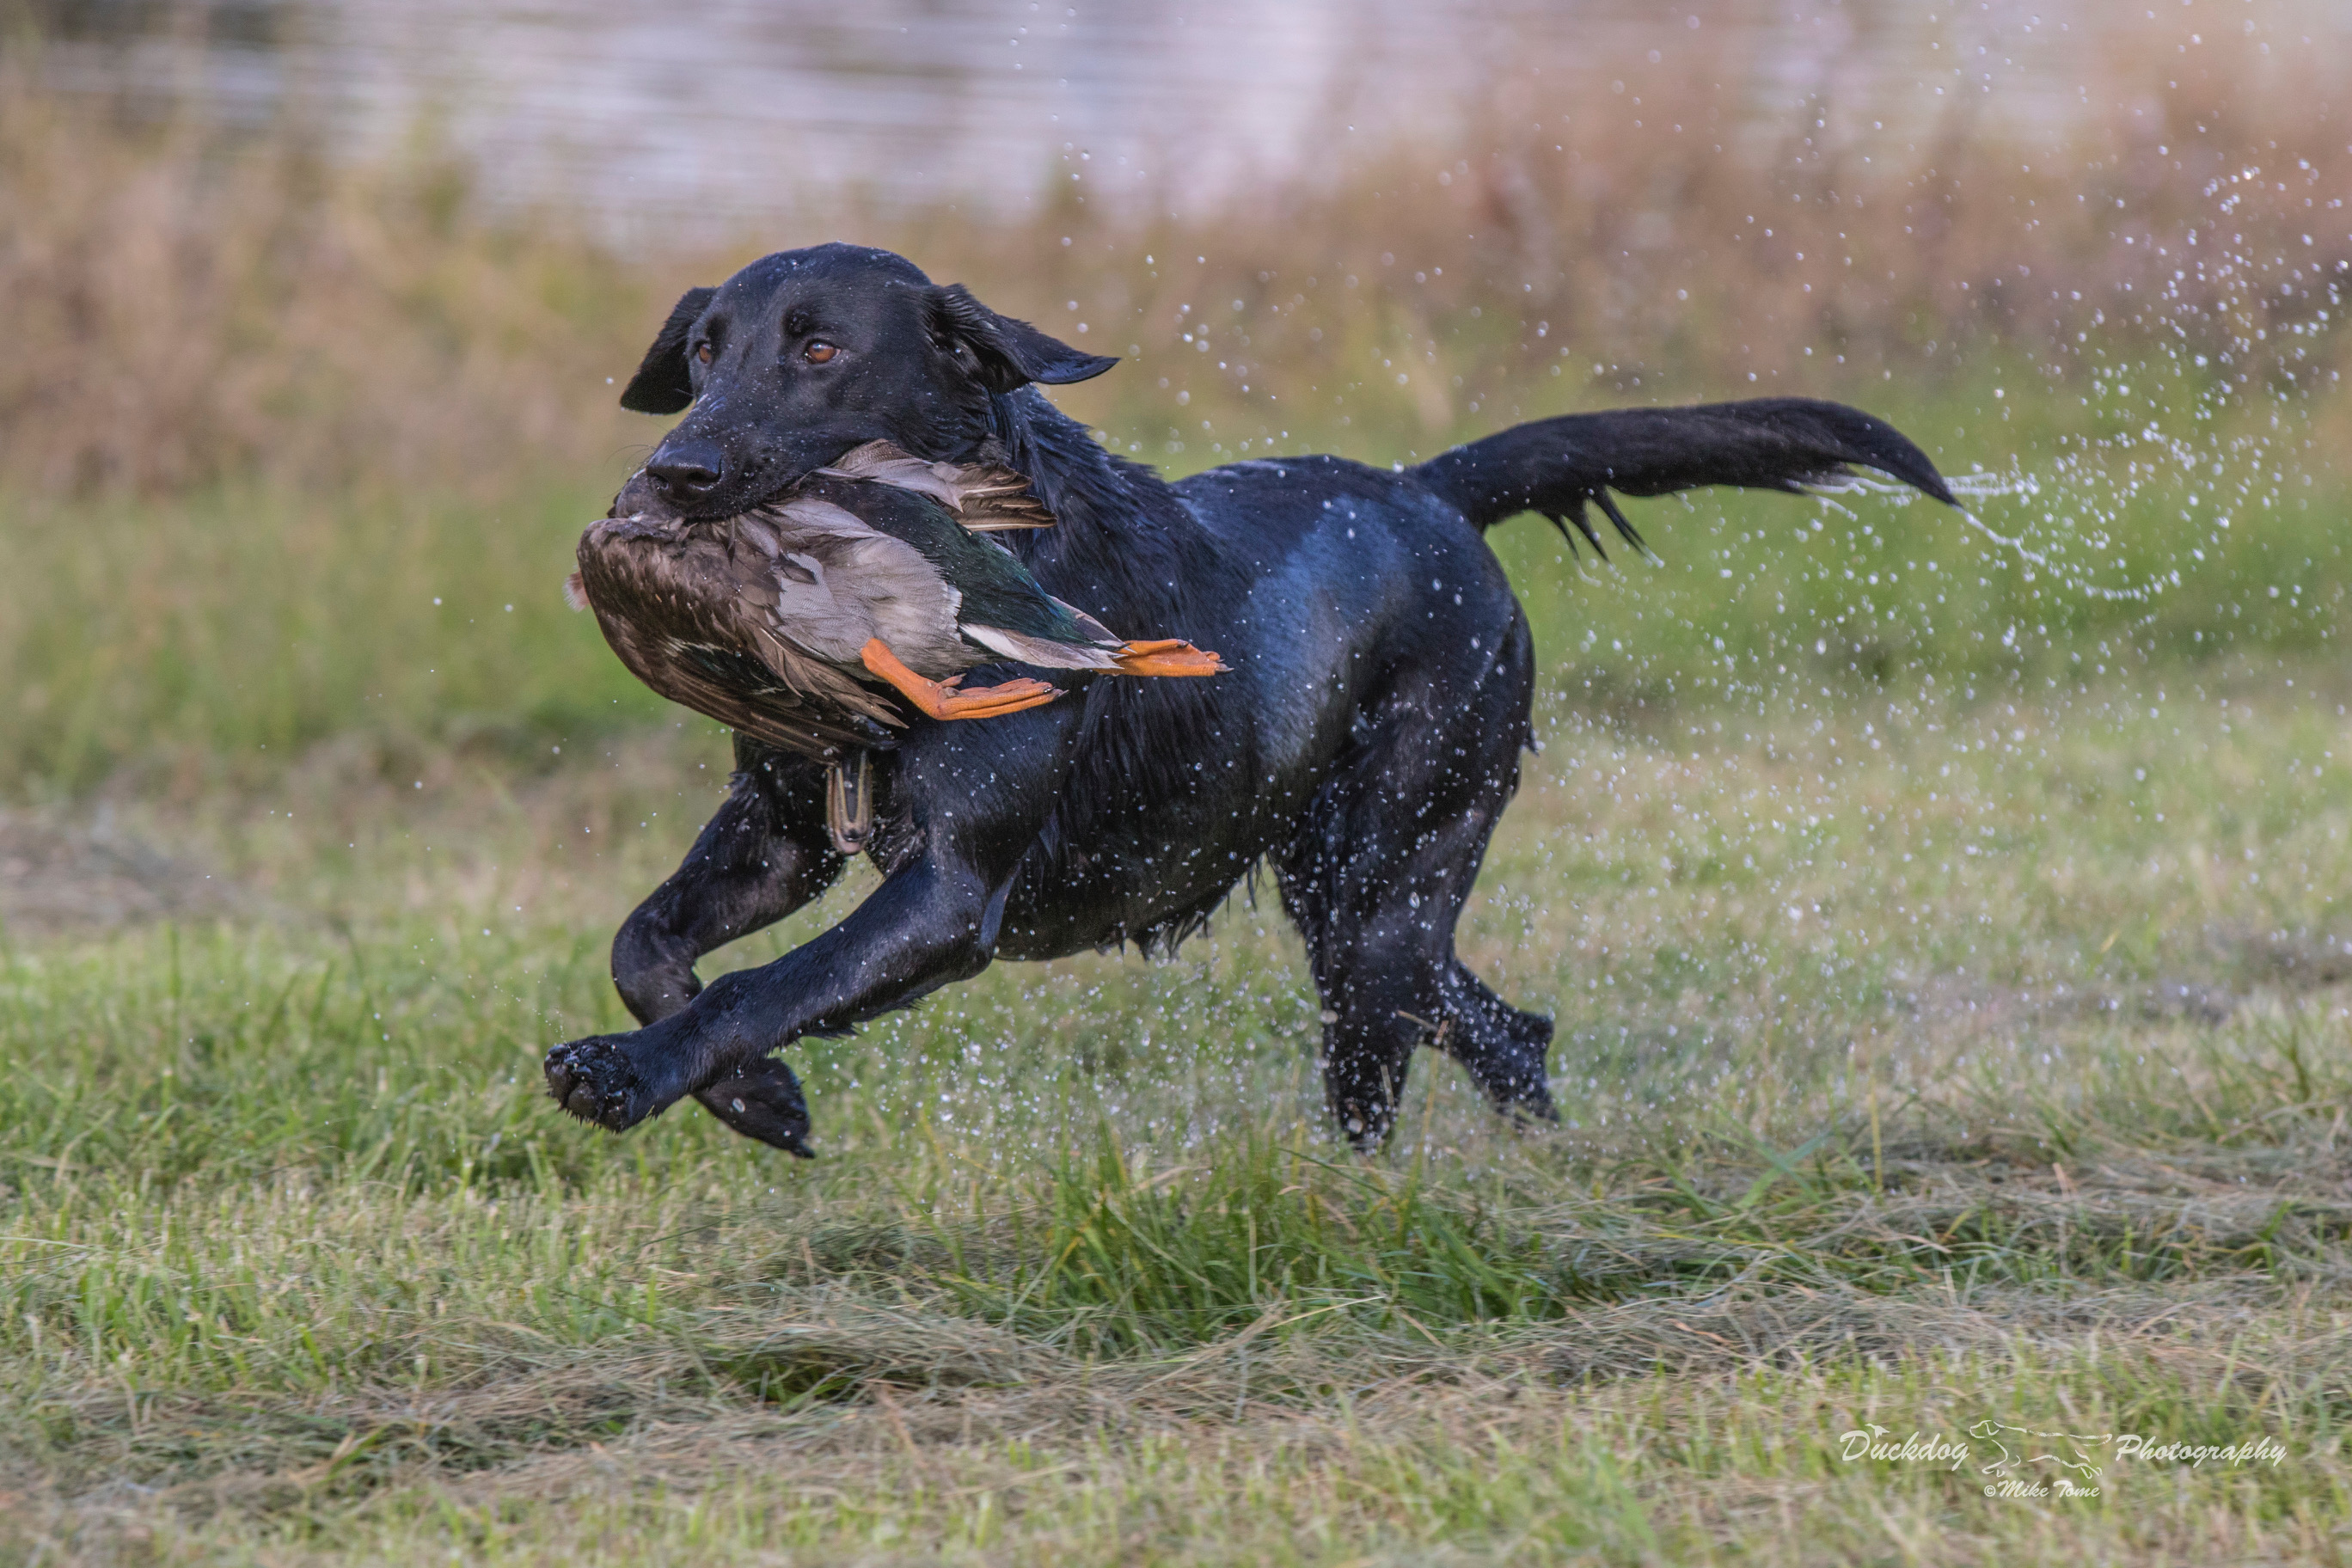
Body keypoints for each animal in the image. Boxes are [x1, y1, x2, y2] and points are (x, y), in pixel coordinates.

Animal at [541, 245, 1957, 1151]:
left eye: (822, 349)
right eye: (705, 352)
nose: (674, 474)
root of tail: (1427, 493)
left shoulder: (946, 892)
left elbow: (755, 985)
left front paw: (629, 1075)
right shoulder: (784, 827)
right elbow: (646, 945)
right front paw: (757, 1099)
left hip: (1385, 870)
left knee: (1401, 1058)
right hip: (1349, 898)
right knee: (1500, 1029)